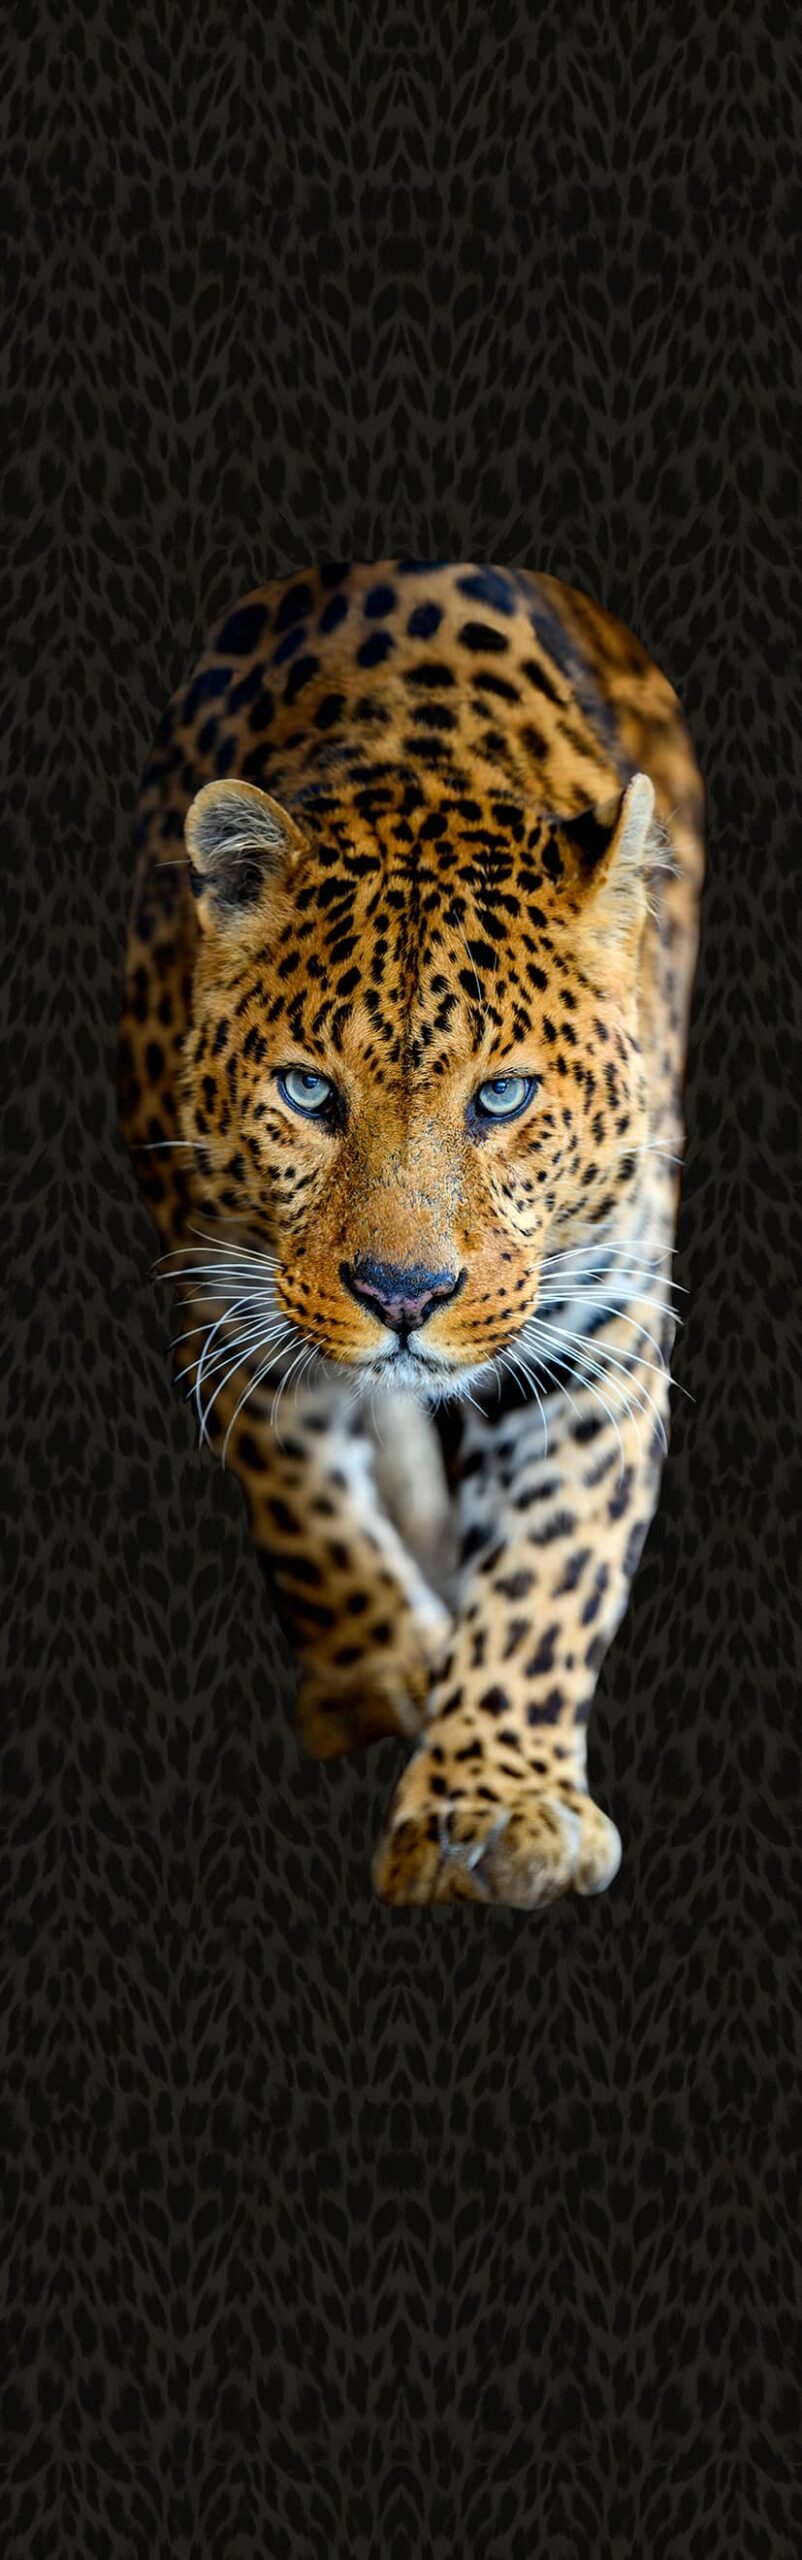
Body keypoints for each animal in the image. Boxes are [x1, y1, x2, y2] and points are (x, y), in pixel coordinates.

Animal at [118, 560, 705, 1908]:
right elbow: (297, 1492)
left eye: (501, 1097)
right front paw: (381, 1664)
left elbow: (552, 1570)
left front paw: (498, 1802)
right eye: (306, 1093)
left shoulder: (599, 1335)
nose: (399, 1293)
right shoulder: (219, 1287)